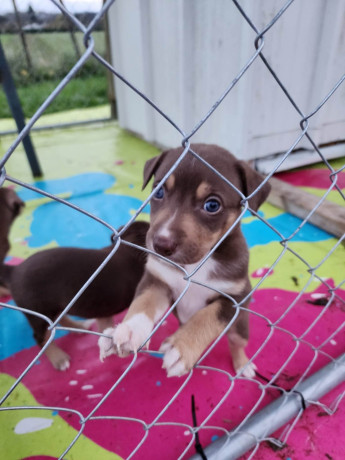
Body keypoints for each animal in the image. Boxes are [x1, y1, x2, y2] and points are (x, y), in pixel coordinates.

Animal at [0, 222, 148, 370]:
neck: (132, 248)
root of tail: (13, 271)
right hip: (38, 314)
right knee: (40, 337)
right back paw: (58, 358)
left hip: (53, 307)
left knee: (58, 319)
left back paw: (78, 327)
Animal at [98, 146, 270, 380]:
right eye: (158, 192)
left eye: (212, 205)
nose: (161, 245)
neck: (197, 263)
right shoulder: (158, 280)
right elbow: (144, 302)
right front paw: (129, 330)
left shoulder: (235, 298)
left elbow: (208, 316)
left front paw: (181, 348)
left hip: (240, 326)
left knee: (237, 343)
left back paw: (243, 365)